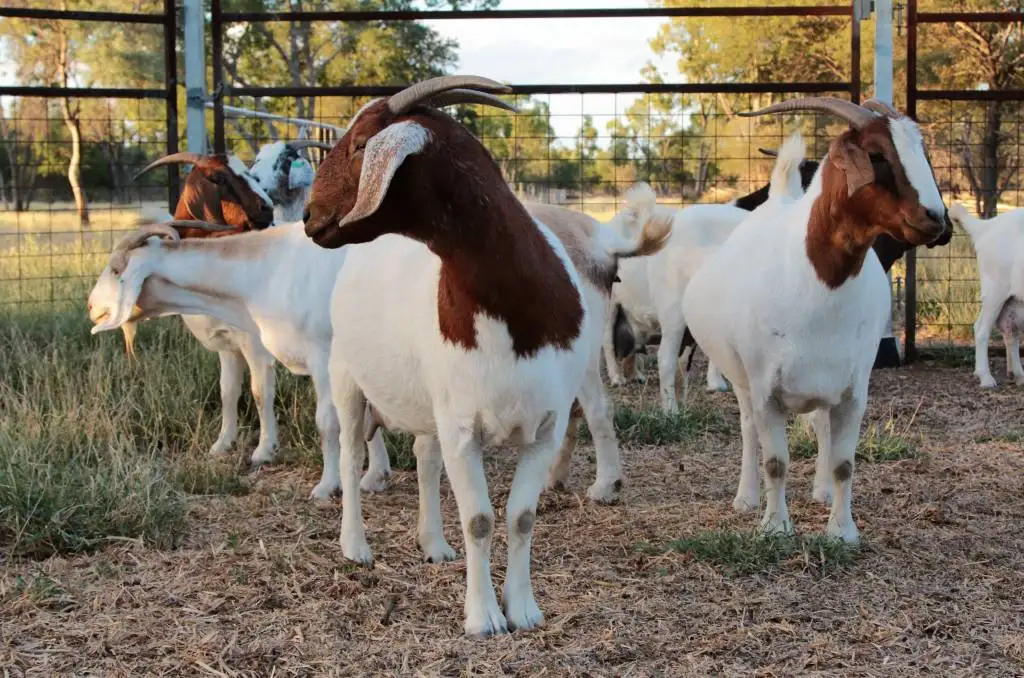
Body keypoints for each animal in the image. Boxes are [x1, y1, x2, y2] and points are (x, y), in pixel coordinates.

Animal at [87, 219, 394, 499]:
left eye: (116, 269)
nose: (91, 305)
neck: (269, 269)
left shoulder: (321, 357)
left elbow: (326, 420)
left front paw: (327, 485)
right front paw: (375, 475)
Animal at [302, 75, 669, 636]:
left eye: (362, 143)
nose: (308, 216)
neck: (513, 311)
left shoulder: (544, 427)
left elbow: (521, 517)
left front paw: (524, 608)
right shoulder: (463, 429)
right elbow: (479, 520)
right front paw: (483, 618)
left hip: (430, 401)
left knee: (425, 458)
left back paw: (433, 543)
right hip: (347, 376)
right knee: (348, 455)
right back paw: (355, 547)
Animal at [682, 97, 950, 544]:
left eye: (923, 150)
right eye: (876, 155)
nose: (937, 219)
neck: (816, 280)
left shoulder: (853, 390)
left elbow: (845, 464)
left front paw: (842, 531)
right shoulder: (765, 388)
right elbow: (775, 461)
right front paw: (775, 526)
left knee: (821, 427)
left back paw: (821, 491)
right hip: (741, 377)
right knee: (748, 429)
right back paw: (746, 498)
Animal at [948, 203, 1024, 388]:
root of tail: (986, 227)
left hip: (1013, 300)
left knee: (1011, 332)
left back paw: (1019, 376)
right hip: (995, 290)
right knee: (981, 329)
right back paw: (986, 378)